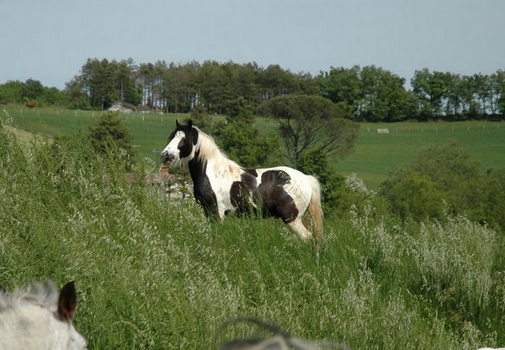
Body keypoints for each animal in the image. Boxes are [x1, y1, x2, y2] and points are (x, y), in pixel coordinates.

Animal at [160, 120, 322, 241]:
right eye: (172, 137)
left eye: (183, 139)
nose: (165, 155)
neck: (212, 173)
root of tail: (306, 178)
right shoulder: (208, 212)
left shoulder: (217, 213)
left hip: (292, 219)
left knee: (308, 239)